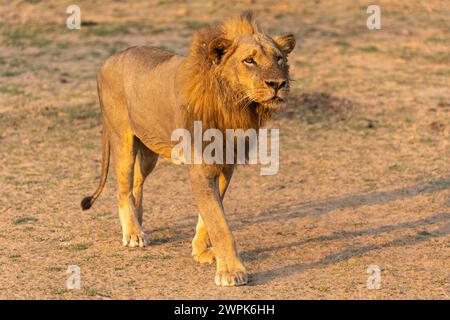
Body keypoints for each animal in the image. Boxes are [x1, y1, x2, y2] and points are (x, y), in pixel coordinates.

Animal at [81, 13, 296, 288]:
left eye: (278, 58)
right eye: (249, 60)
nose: (278, 83)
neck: (234, 105)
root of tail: (107, 60)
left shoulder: (226, 165)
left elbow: (209, 216)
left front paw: (201, 251)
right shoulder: (201, 169)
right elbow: (219, 223)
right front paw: (231, 271)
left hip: (149, 150)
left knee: (137, 182)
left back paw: (139, 220)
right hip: (123, 139)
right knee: (122, 188)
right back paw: (133, 233)